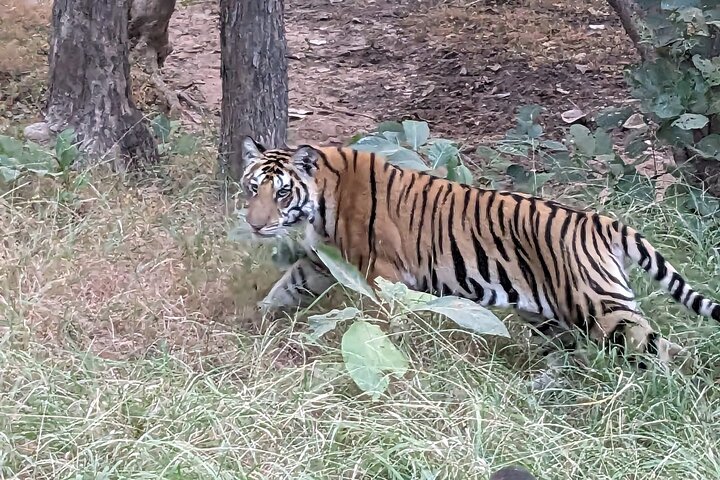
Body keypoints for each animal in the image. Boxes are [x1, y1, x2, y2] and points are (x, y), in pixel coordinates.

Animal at [239, 135, 720, 383]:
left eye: (282, 192)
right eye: (252, 187)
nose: (256, 225)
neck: (319, 201)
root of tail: (601, 222)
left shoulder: (379, 273)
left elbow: (379, 322)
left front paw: (382, 357)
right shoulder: (323, 262)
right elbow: (287, 286)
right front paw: (256, 321)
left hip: (601, 309)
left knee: (661, 348)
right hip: (550, 315)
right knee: (573, 353)